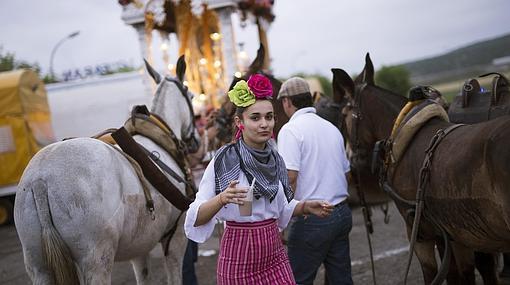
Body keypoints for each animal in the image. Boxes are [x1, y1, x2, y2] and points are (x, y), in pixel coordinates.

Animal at [13, 57, 201, 284]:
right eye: (191, 95)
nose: (196, 141)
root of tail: (40, 180)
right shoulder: (175, 239)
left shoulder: (139, 248)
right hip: (96, 261)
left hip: (39, 266)